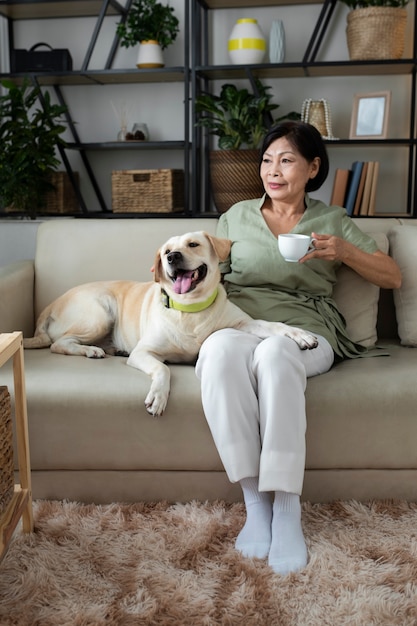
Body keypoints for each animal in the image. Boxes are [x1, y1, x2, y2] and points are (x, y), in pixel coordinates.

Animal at [23, 229, 316, 414]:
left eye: (193, 244)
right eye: (166, 251)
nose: (172, 257)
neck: (190, 308)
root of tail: (50, 305)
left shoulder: (243, 324)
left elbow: (272, 325)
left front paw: (300, 334)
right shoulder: (144, 352)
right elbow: (163, 368)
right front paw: (158, 396)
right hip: (100, 313)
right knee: (58, 343)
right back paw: (91, 350)